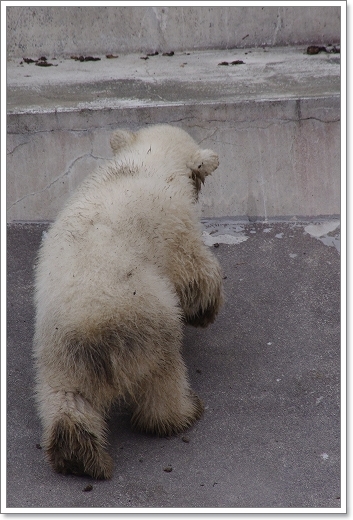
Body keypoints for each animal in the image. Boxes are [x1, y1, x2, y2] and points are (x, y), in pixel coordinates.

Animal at [32, 125, 223, 480]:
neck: (146, 163)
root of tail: (93, 332)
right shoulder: (174, 222)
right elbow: (194, 270)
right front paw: (205, 310)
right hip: (148, 322)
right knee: (163, 374)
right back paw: (182, 414)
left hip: (59, 353)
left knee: (67, 399)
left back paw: (75, 456)